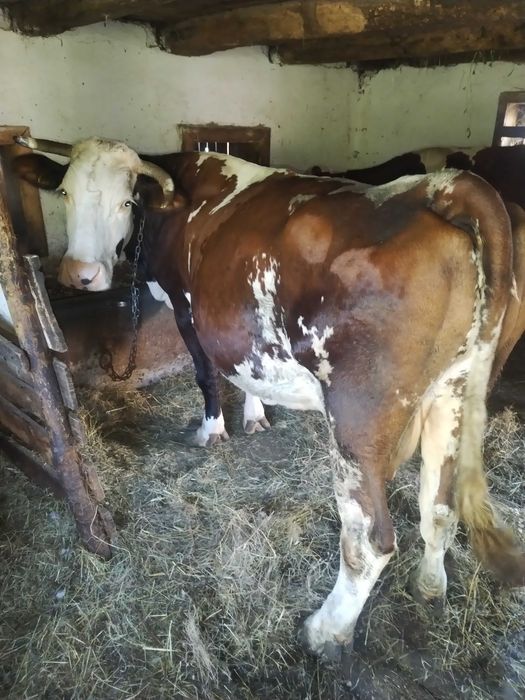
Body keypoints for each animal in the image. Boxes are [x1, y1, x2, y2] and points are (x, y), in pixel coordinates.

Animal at [12, 136, 525, 661]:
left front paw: (212, 429)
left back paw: (325, 631)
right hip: (453, 390)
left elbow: (207, 373)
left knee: (369, 541)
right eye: (66, 193)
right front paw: (256, 415)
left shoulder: (187, 309)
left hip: (358, 415)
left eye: (126, 202)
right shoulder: (234, 324)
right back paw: (429, 586)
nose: (82, 275)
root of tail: (439, 188)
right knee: (439, 506)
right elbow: (242, 367)